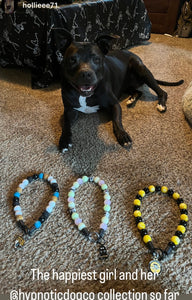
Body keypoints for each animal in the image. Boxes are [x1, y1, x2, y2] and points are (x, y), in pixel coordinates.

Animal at [54, 29, 184, 152]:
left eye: (96, 59)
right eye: (72, 60)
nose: (86, 74)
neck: (85, 96)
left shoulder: (114, 104)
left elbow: (116, 120)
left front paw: (123, 135)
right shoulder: (69, 110)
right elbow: (65, 124)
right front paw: (64, 140)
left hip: (141, 69)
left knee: (162, 92)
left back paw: (161, 105)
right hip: (126, 84)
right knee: (139, 91)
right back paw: (131, 99)